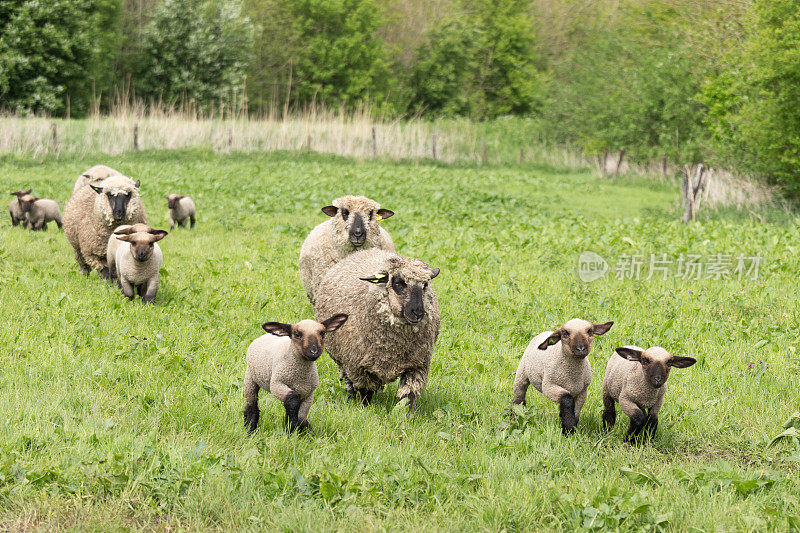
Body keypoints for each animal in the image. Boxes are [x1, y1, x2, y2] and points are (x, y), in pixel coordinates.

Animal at [312, 247, 440, 414]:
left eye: (425, 285)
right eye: (398, 283)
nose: (418, 312)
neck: (394, 345)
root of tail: (365, 251)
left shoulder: (418, 365)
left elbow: (408, 397)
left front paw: (405, 416)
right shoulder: (357, 366)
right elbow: (365, 393)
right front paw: (365, 411)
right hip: (343, 358)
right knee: (348, 378)